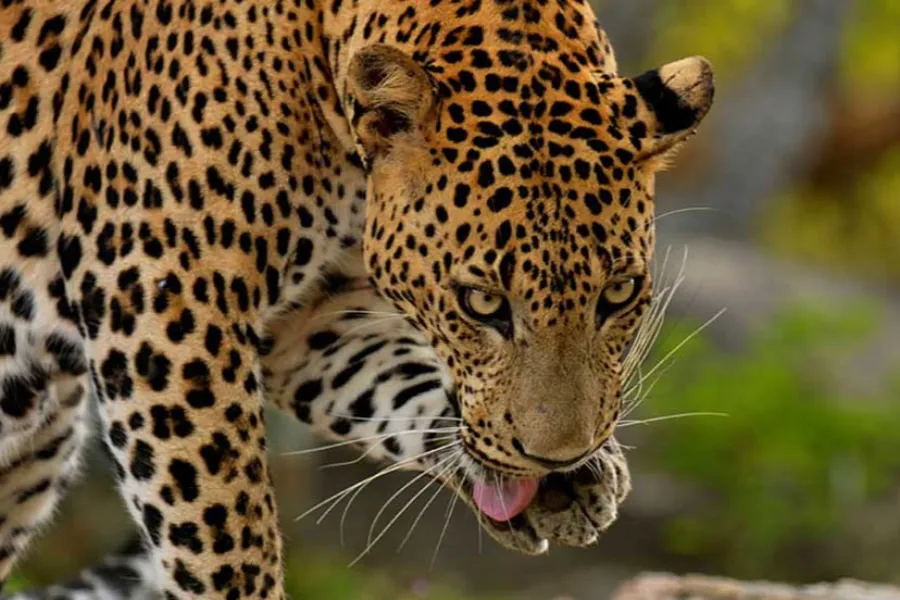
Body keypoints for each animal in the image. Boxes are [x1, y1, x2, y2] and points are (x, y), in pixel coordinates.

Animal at [0, 0, 714, 596]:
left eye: (619, 293)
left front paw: (567, 482)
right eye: (481, 303)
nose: (558, 459)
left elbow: (398, 385)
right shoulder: (159, 293)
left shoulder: (311, 318)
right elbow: (223, 528)